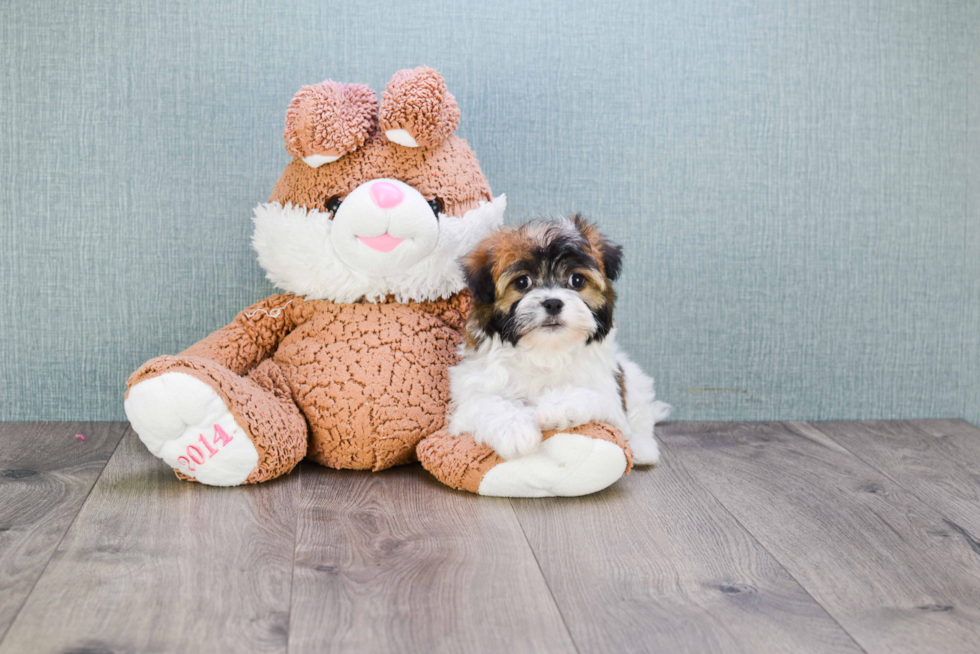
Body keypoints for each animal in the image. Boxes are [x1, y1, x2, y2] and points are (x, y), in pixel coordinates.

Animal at [448, 218, 668, 464]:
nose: (553, 302)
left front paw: (557, 406)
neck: (545, 350)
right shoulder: (473, 387)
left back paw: (642, 447)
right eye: (522, 282)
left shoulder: (608, 393)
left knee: (641, 415)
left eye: (577, 280)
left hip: (634, 378)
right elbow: (486, 402)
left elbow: (591, 394)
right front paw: (514, 430)